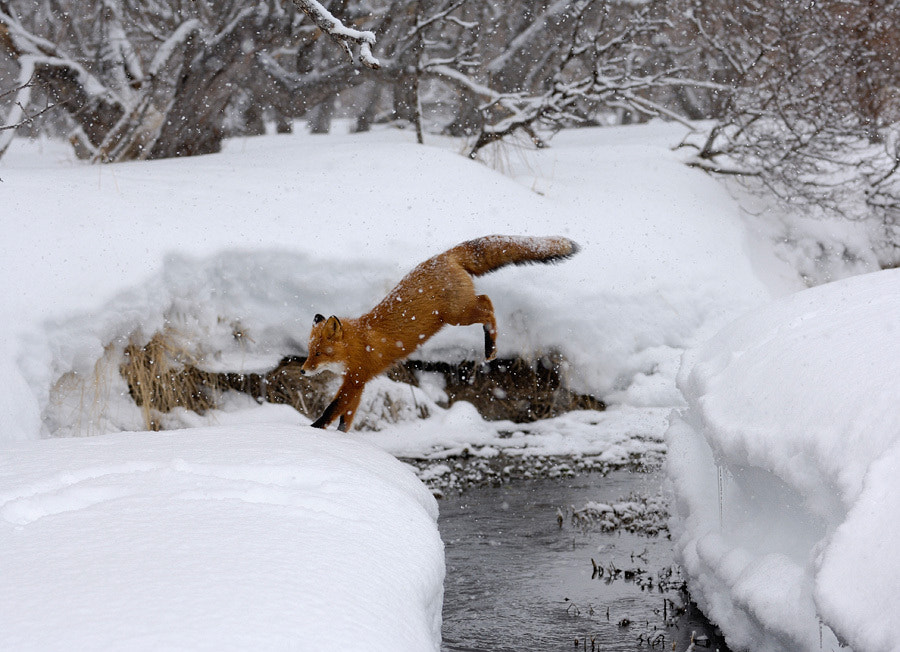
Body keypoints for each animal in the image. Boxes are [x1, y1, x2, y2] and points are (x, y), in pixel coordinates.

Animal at [300, 236, 584, 432]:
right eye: (309, 352)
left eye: (319, 353)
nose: (302, 371)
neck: (358, 343)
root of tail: (443, 256)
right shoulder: (358, 384)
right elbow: (345, 417)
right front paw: (341, 437)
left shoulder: (355, 379)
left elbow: (332, 409)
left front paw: (314, 429)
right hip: (459, 313)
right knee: (486, 301)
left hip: (458, 315)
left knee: (488, 304)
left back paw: (491, 347)